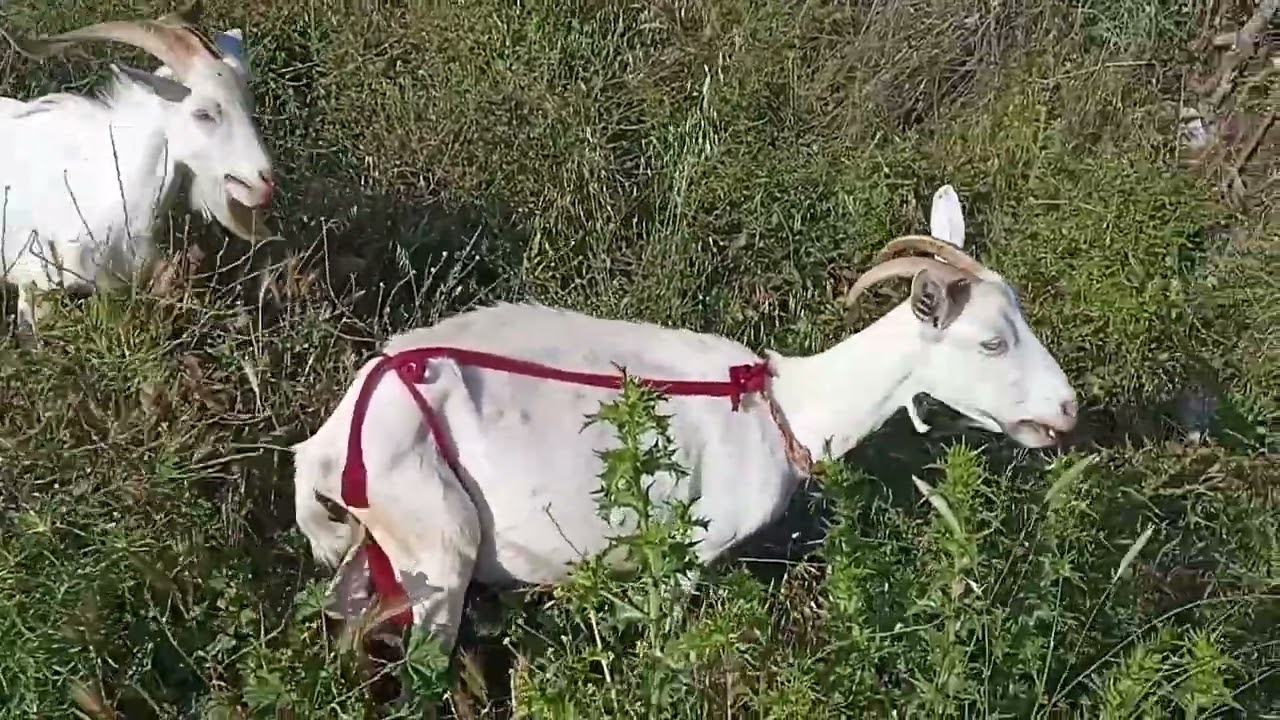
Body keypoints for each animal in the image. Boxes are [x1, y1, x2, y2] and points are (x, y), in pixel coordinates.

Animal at [289, 187, 1080, 653]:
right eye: (991, 341)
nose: (1067, 409)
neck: (784, 408)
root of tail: (325, 446)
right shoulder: (683, 554)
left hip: (378, 545)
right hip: (436, 540)